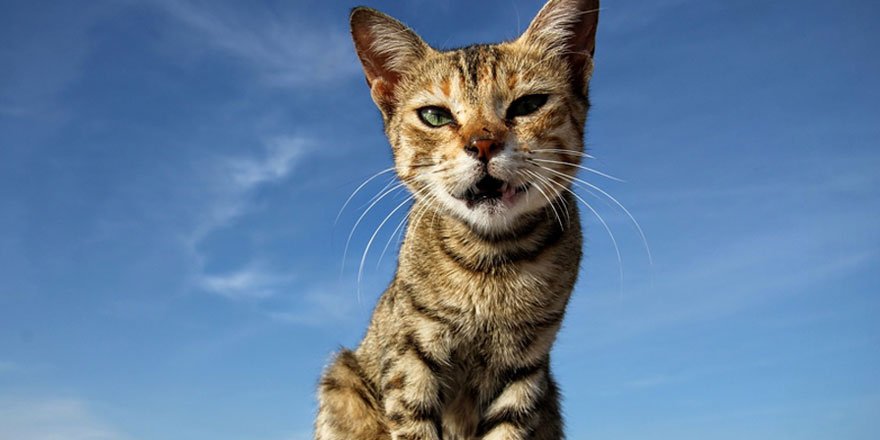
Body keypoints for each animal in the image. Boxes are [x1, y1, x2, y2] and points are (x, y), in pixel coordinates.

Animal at [314, 1, 600, 438]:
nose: (483, 144)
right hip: (341, 380)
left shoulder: (525, 368)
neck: (491, 260)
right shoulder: (410, 358)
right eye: (435, 116)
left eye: (528, 105)